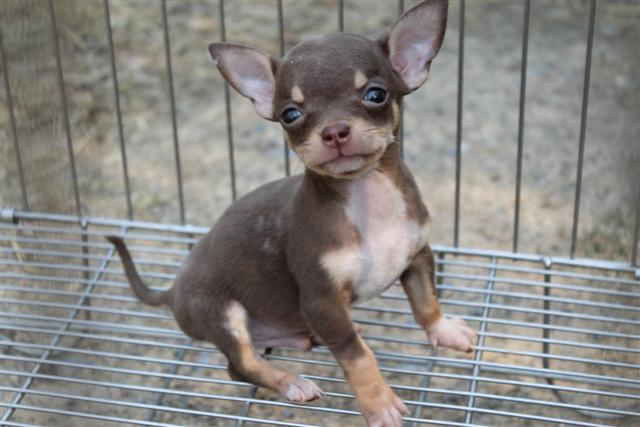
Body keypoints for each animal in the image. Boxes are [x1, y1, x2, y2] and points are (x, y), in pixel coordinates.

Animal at [107, 1, 475, 425]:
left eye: (376, 94)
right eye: (290, 115)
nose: (334, 131)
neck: (366, 195)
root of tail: (172, 292)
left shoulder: (416, 257)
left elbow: (427, 301)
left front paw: (444, 330)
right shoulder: (321, 299)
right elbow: (356, 357)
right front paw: (378, 403)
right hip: (223, 314)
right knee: (241, 366)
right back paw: (291, 383)